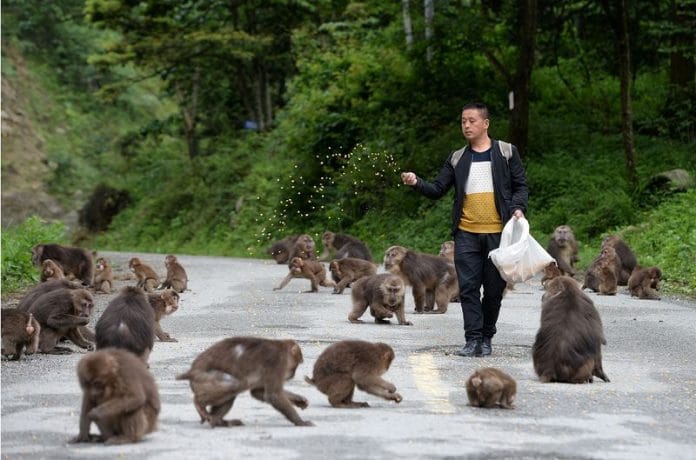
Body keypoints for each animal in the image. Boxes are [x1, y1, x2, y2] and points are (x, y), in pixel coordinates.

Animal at [176, 336, 313, 427]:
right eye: (296, 365)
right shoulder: (276, 361)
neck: (282, 349)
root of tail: (192, 370)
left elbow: (259, 392)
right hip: (204, 378)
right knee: (235, 384)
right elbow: (273, 395)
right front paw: (300, 422)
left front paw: (299, 400)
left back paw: (220, 422)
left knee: (232, 393)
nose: (292, 375)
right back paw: (199, 404)